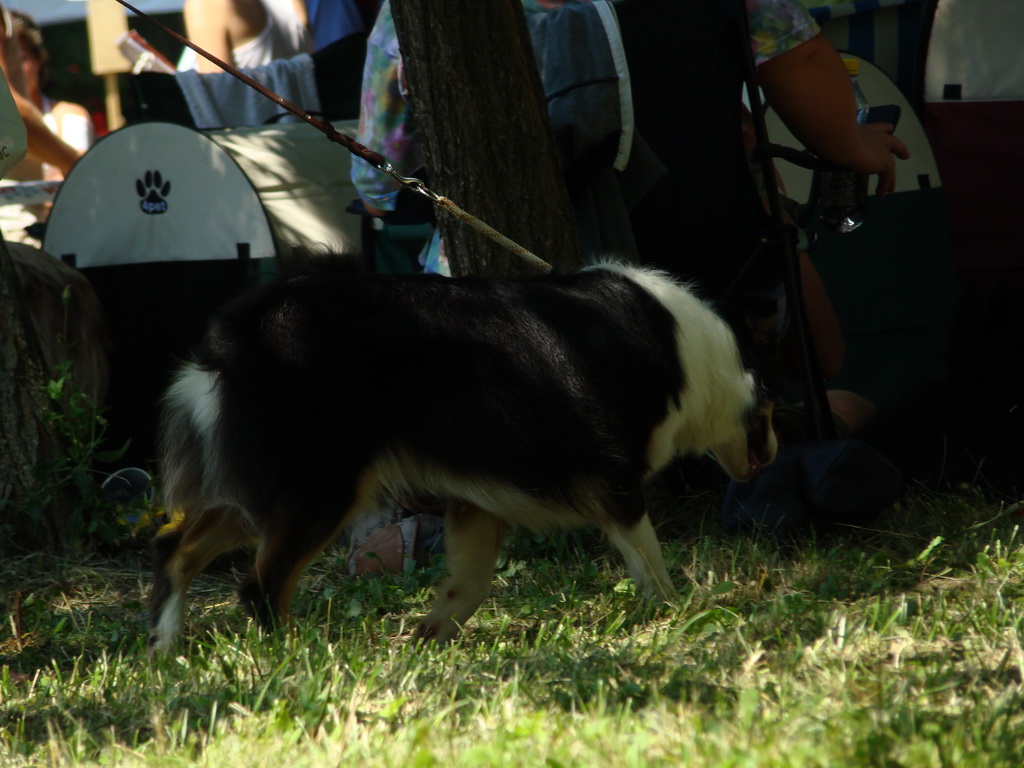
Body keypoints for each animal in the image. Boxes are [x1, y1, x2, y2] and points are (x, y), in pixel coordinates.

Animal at [149, 259, 774, 651]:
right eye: (771, 407)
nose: (771, 457)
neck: (699, 351)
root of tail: (233, 334)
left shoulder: (479, 498)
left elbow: (471, 580)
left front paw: (431, 636)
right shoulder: (615, 480)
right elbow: (651, 561)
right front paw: (681, 616)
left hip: (255, 489)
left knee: (174, 548)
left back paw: (163, 647)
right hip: (318, 488)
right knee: (260, 584)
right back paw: (296, 658)